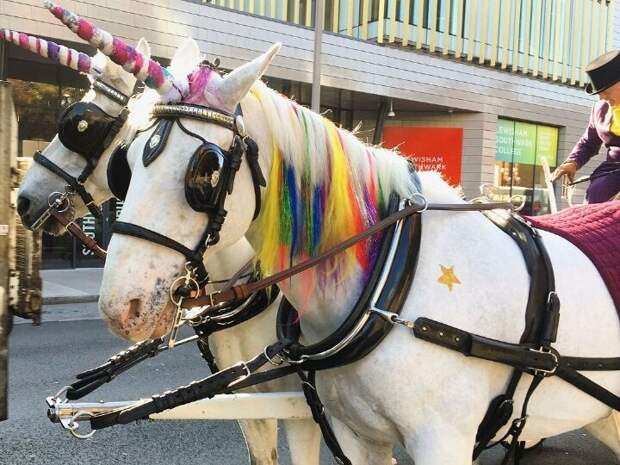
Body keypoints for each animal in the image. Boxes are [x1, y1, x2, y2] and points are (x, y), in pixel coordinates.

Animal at [91, 33, 620, 464]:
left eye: (207, 170)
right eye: (125, 163)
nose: (122, 308)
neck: (392, 281)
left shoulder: (438, 441)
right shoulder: (351, 433)